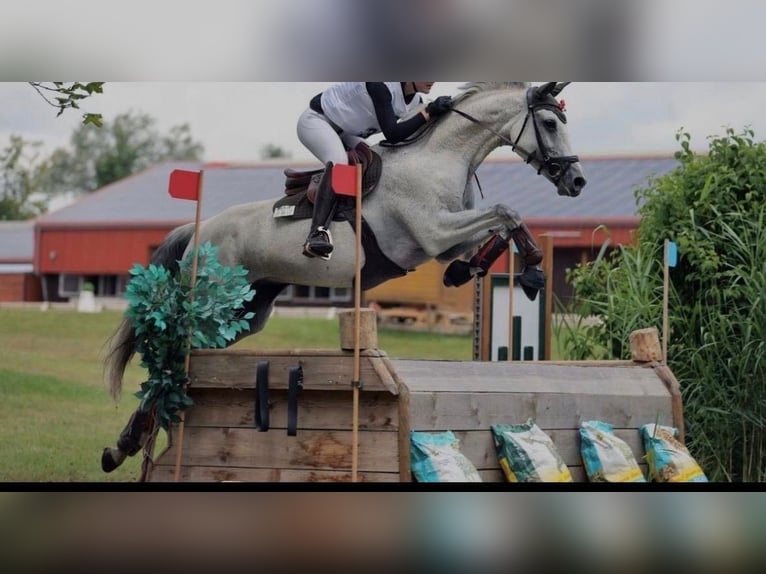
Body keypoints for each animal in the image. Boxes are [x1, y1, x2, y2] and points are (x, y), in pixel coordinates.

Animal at [101, 81, 586, 473]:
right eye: (548, 122)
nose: (577, 182)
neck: (441, 159)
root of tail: (197, 231)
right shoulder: (433, 232)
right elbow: (506, 212)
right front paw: (531, 271)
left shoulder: (448, 239)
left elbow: (501, 226)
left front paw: (501, 270)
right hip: (209, 303)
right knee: (171, 352)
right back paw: (132, 440)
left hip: (244, 314)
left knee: (188, 354)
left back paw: (129, 442)